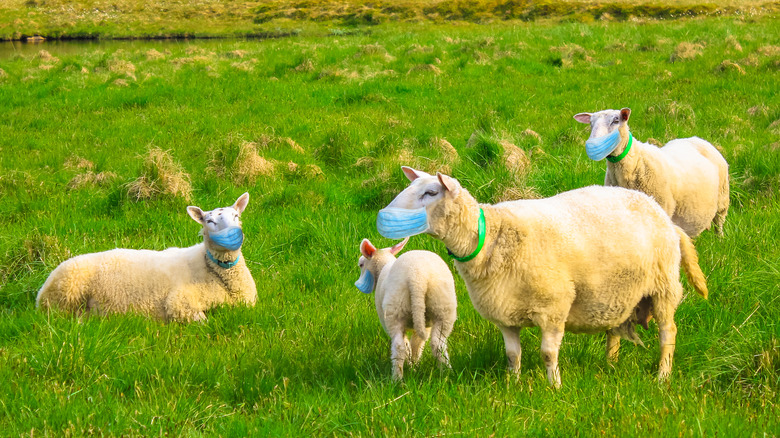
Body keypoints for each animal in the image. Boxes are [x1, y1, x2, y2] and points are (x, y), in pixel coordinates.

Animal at [36, 192, 258, 322]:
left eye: (236, 216)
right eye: (209, 221)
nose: (232, 234)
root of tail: (40, 293)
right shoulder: (179, 302)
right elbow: (202, 320)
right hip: (66, 294)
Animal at [354, 236, 458, 380]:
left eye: (361, 265)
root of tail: (418, 277)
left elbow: (407, 345)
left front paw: (411, 365)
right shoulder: (425, 325)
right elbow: (416, 344)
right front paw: (414, 365)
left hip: (395, 310)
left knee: (399, 347)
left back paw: (396, 378)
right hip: (443, 307)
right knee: (438, 344)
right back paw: (447, 374)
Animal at [374, 167, 708, 386]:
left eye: (431, 193)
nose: (383, 217)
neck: (491, 237)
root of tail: (663, 216)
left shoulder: (554, 307)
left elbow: (548, 353)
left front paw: (554, 386)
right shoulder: (505, 312)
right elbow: (512, 354)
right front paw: (513, 383)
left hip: (663, 287)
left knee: (668, 333)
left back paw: (662, 376)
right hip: (619, 292)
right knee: (615, 330)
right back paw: (610, 364)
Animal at [572, 108, 732, 238]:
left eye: (616, 120)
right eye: (591, 123)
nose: (592, 144)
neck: (635, 161)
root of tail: (697, 139)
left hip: (723, 198)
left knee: (719, 222)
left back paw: (719, 239)